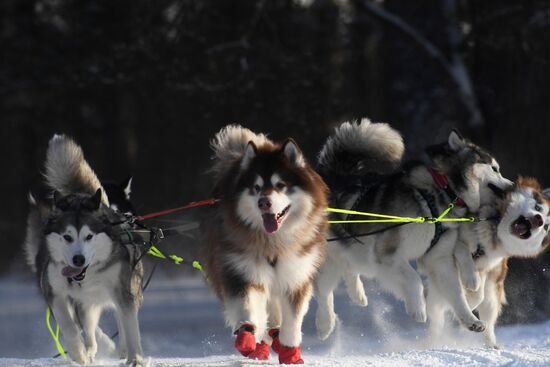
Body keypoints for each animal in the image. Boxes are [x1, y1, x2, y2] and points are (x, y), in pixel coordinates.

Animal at [204, 126, 330, 366]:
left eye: (281, 185)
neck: (273, 245)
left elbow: (292, 321)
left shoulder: (295, 275)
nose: (264, 202)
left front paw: (290, 351)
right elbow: (248, 310)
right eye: (256, 187)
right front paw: (248, 337)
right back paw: (259, 345)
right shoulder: (243, 272)